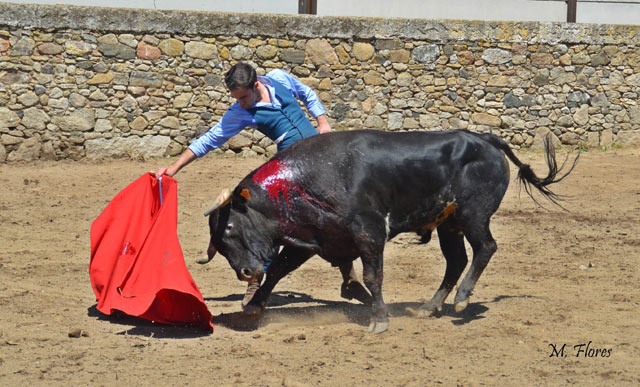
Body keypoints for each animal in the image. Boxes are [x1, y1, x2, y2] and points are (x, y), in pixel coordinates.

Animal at [204, 130, 576, 334]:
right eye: (219, 242)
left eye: (231, 227)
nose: (245, 272)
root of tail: (483, 140)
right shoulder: (311, 239)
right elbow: (279, 269)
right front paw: (253, 307)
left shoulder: (369, 233)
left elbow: (373, 277)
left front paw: (379, 319)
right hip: (449, 224)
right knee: (456, 261)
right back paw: (430, 306)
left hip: (474, 215)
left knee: (486, 248)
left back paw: (461, 299)